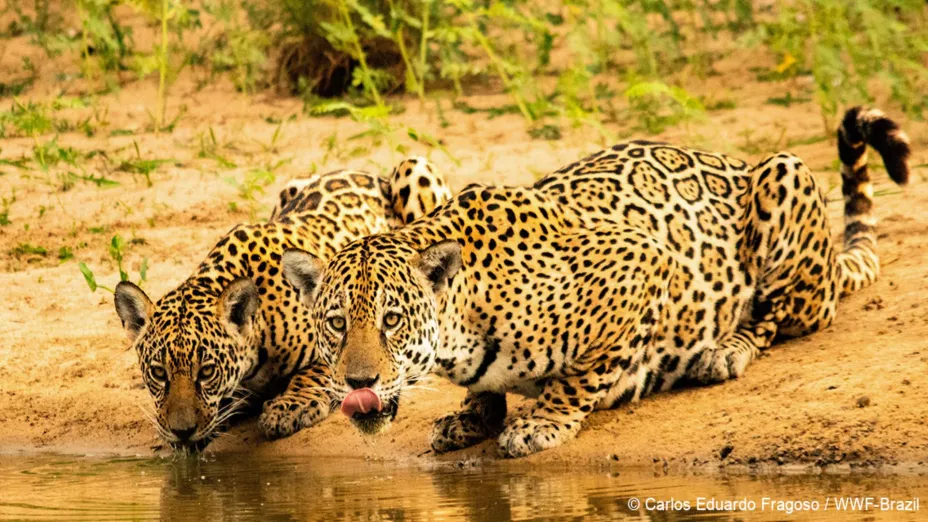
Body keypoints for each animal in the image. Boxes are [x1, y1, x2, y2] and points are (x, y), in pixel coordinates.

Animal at [113, 156, 452, 451]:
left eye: (207, 372)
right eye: (158, 373)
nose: (181, 431)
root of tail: (367, 173)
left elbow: (315, 373)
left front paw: (289, 407)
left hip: (415, 169)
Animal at [281, 107, 910, 458]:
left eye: (392, 319)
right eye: (337, 323)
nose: (358, 381)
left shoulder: (642, 263)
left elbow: (583, 375)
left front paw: (542, 423)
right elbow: (486, 390)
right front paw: (473, 417)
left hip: (787, 175)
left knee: (781, 314)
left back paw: (726, 350)